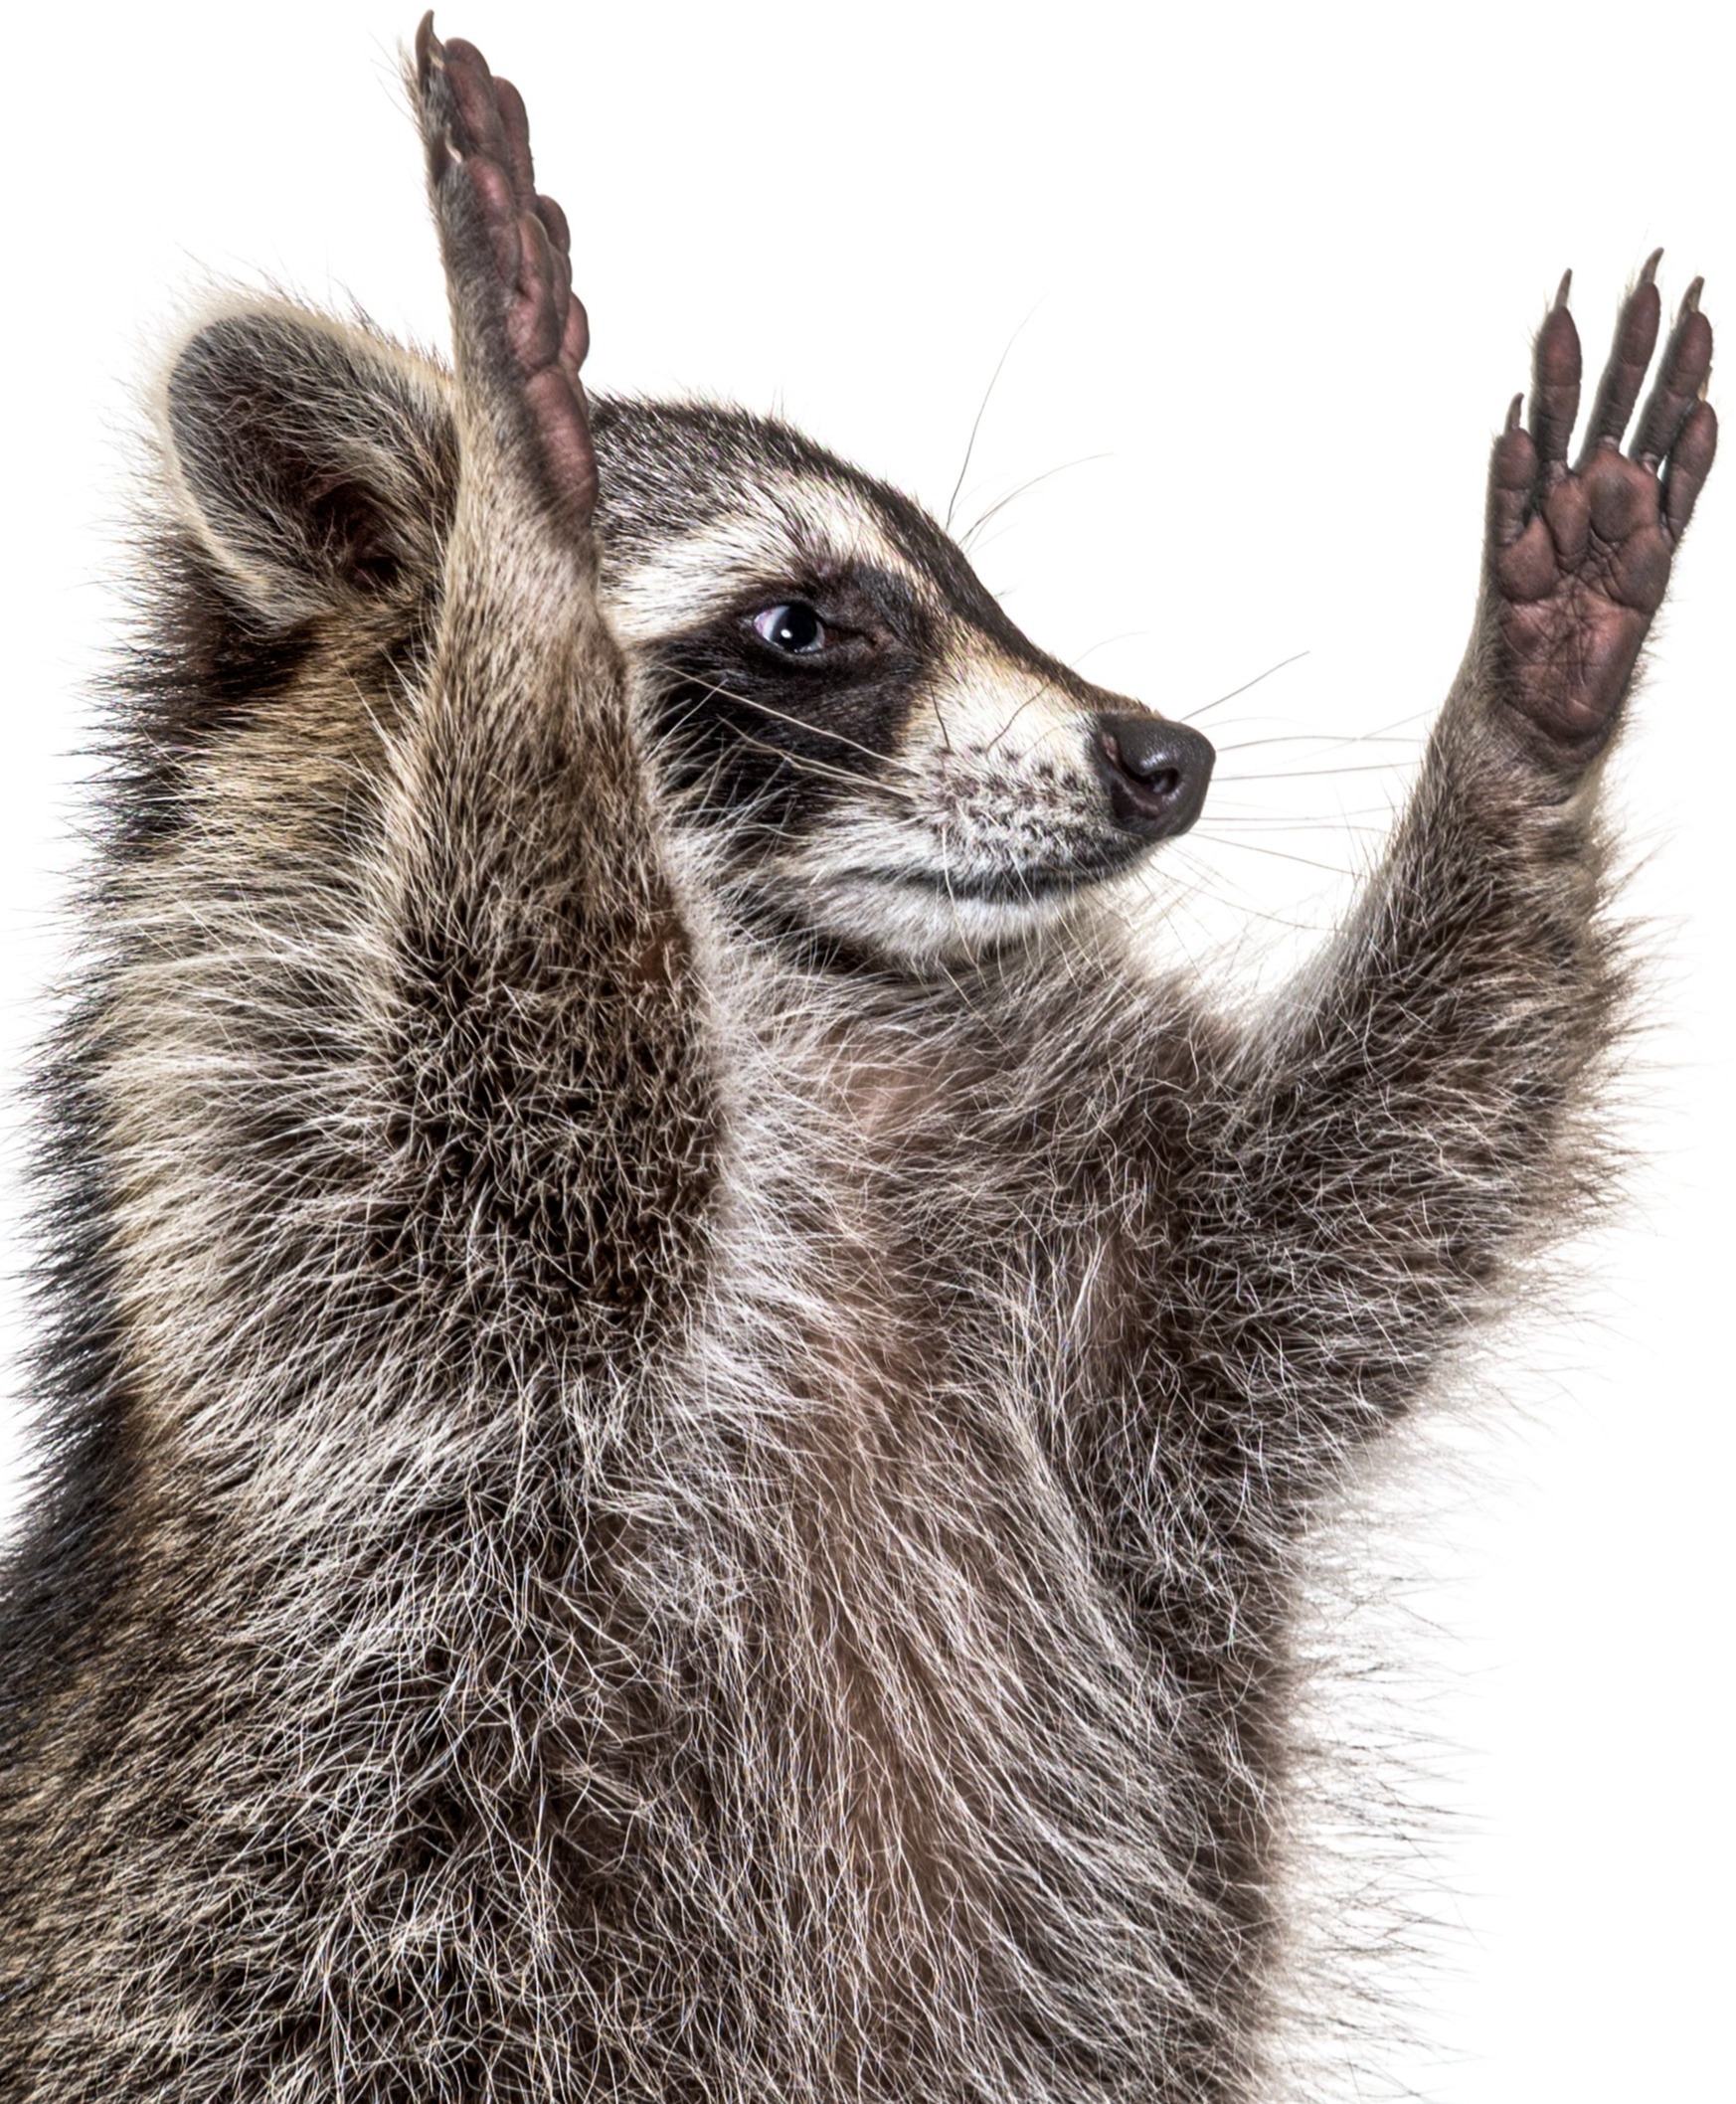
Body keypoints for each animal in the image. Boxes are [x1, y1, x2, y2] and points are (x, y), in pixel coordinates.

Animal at [0, 16, 1716, 2104]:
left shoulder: (1110, 1312)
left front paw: (1528, 722)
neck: (817, 976)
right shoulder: (287, 1139)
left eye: (970, 587)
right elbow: (516, 1141)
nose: (1165, 758)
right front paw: (522, 550)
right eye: (802, 625)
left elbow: (1338, 1224)